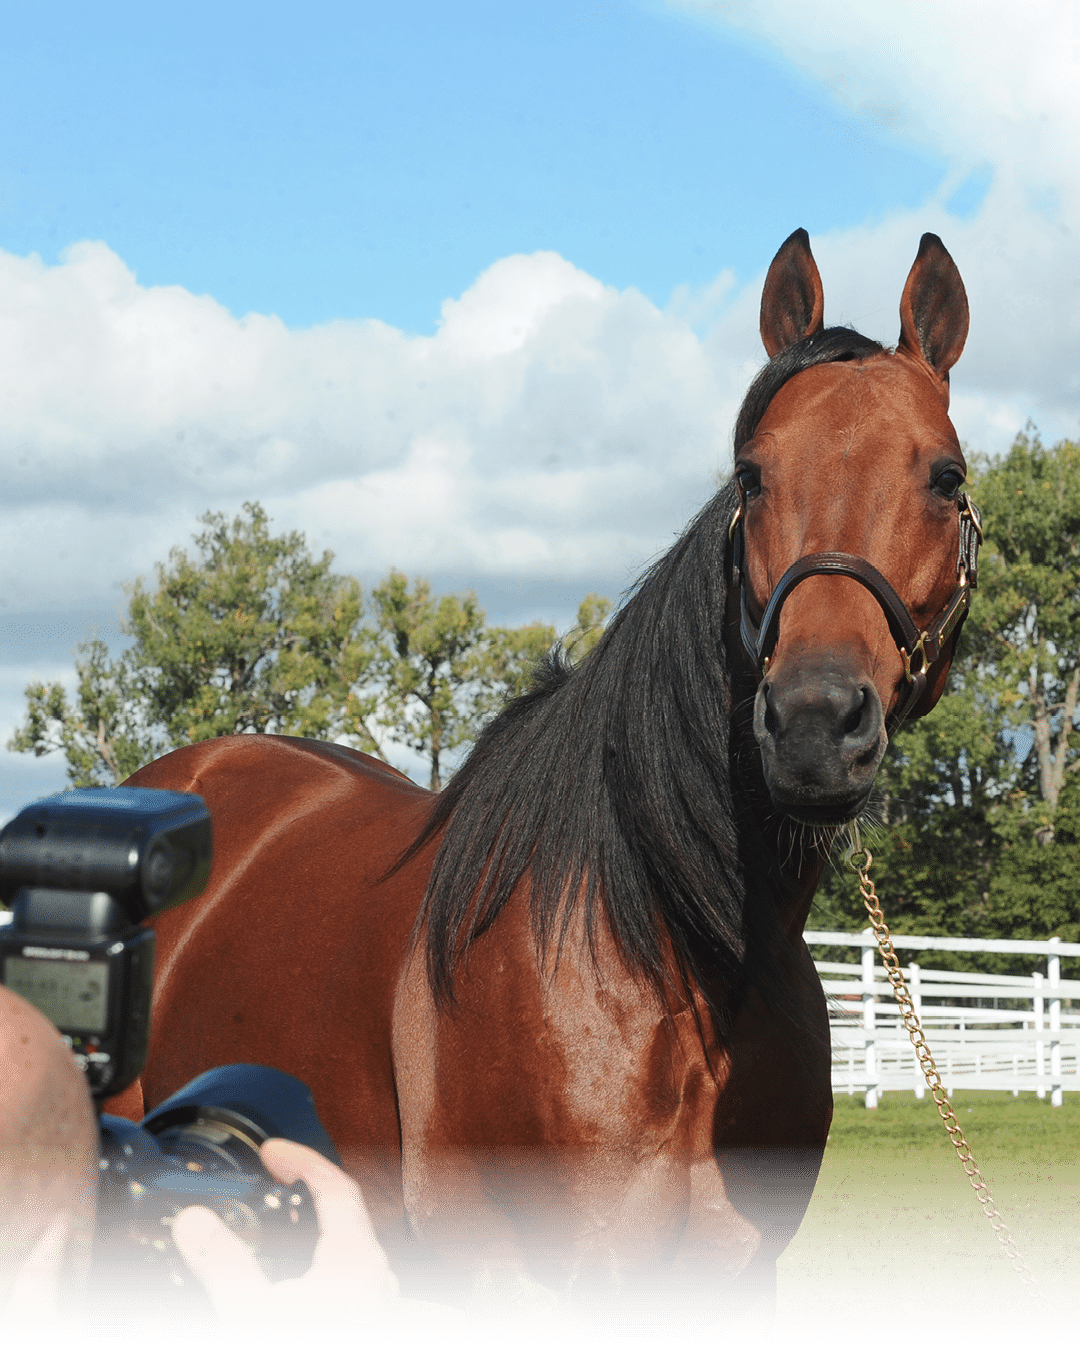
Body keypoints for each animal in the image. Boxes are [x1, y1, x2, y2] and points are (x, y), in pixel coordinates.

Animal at [108, 229, 978, 1327]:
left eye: (946, 476)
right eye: (751, 476)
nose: (816, 725)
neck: (657, 951)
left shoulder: (732, 1294)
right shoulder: (523, 1291)